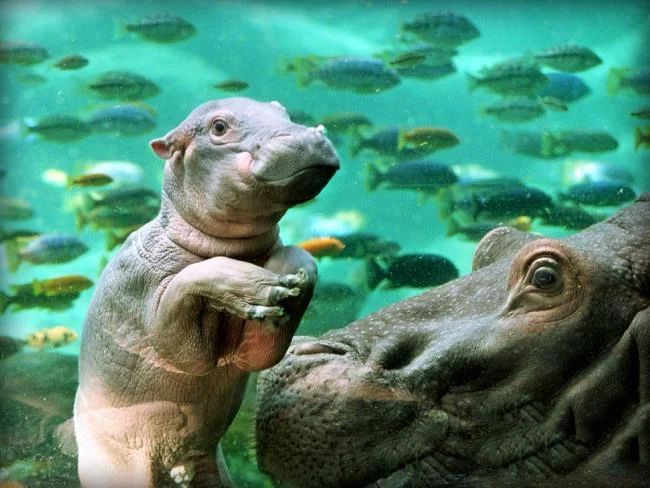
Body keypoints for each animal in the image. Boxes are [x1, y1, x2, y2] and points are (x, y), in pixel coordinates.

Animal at [73, 98, 339, 487]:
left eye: (282, 110)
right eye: (218, 127)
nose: (307, 136)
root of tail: (173, 463)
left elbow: (298, 262)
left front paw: (286, 286)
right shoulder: (148, 303)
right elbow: (189, 287)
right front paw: (260, 289)